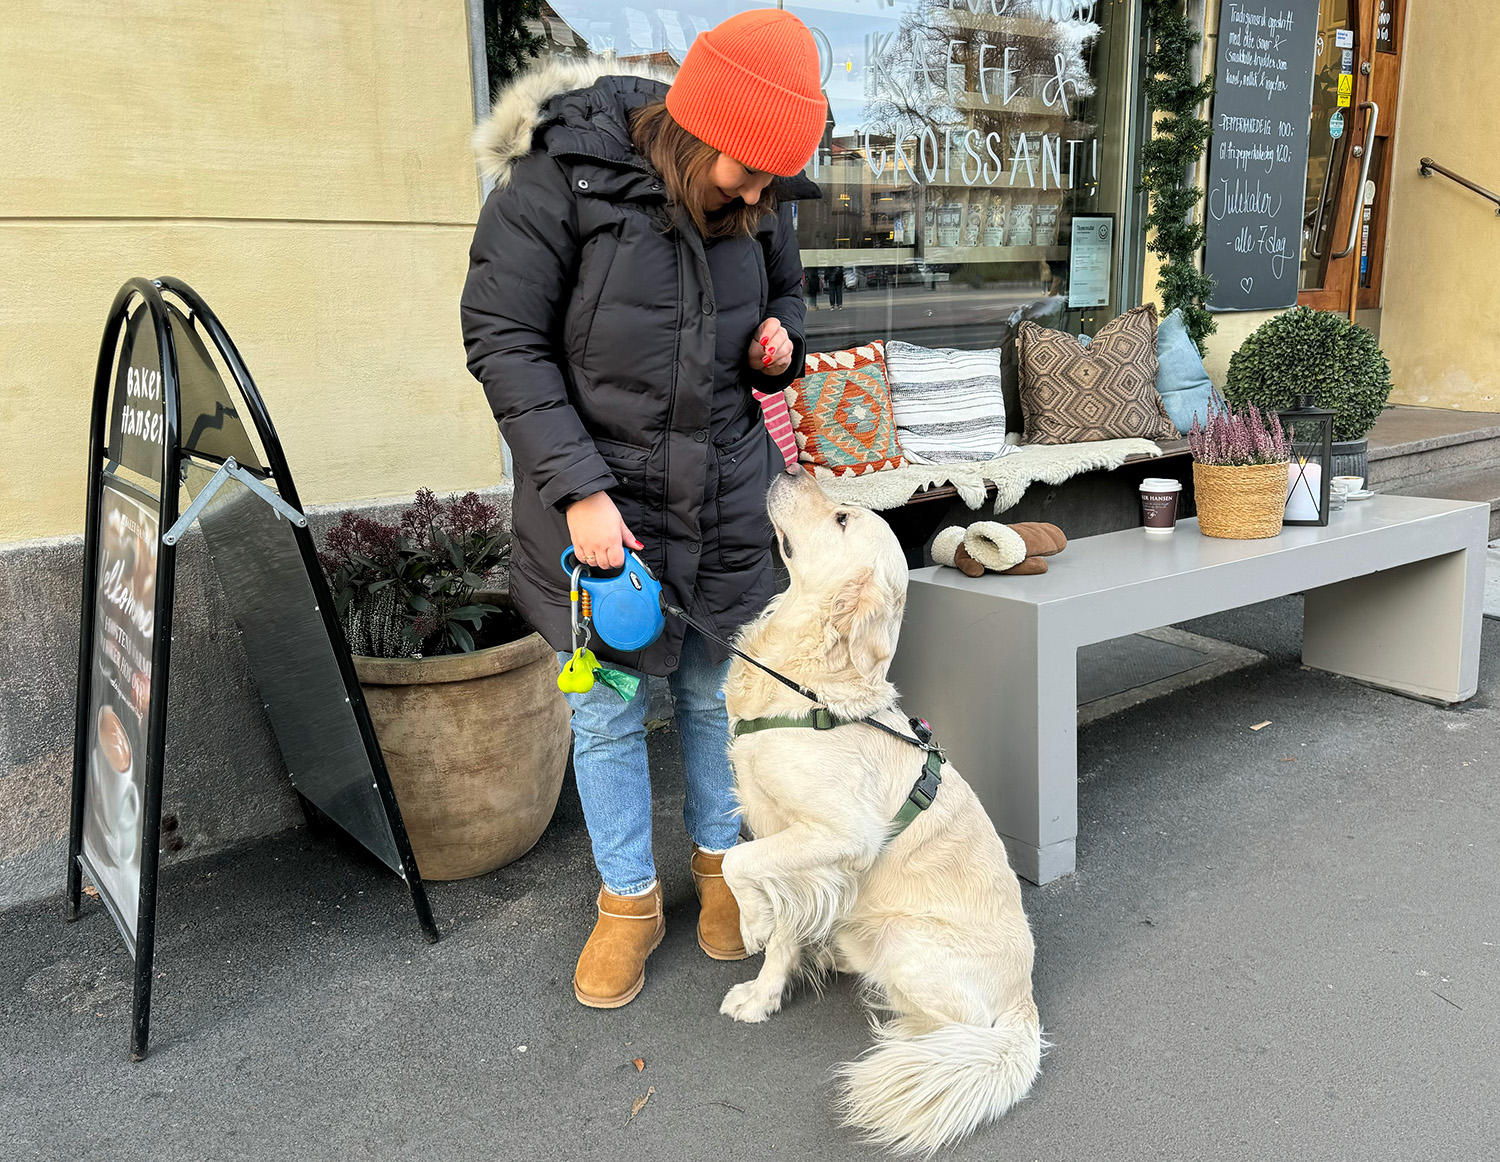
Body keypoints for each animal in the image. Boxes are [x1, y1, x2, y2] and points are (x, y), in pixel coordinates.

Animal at [720, 470, 1038, 1151]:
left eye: (842, 519)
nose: (789, 468)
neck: (808, 686)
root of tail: (1024, 1001)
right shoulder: (793, 849)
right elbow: (773, 907)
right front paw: (763, 994)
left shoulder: (842, 834)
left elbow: (738, 863)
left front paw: (752, 924)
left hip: (908, 945)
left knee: (951, 1028)